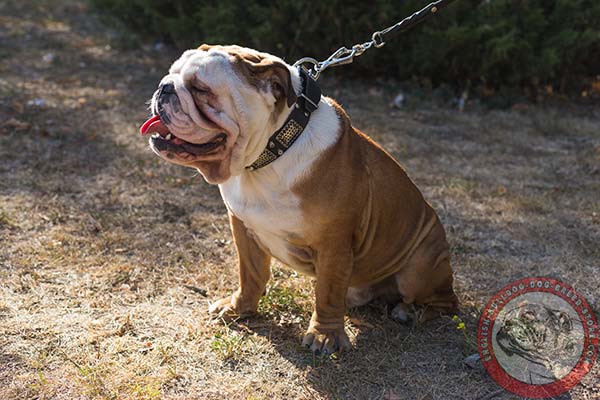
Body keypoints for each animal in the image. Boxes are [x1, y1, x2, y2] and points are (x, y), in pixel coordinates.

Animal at [141, 45, 458, 354]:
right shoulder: (243, 227)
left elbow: (328, 293)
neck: (270, 154)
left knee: (447, 301)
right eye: (171, 73)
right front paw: (239, 307)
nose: (164, 87)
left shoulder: (333, 244)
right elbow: (250, 273)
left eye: (200, 89)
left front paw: (325, 336)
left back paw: (410, 312)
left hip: (418, 269)